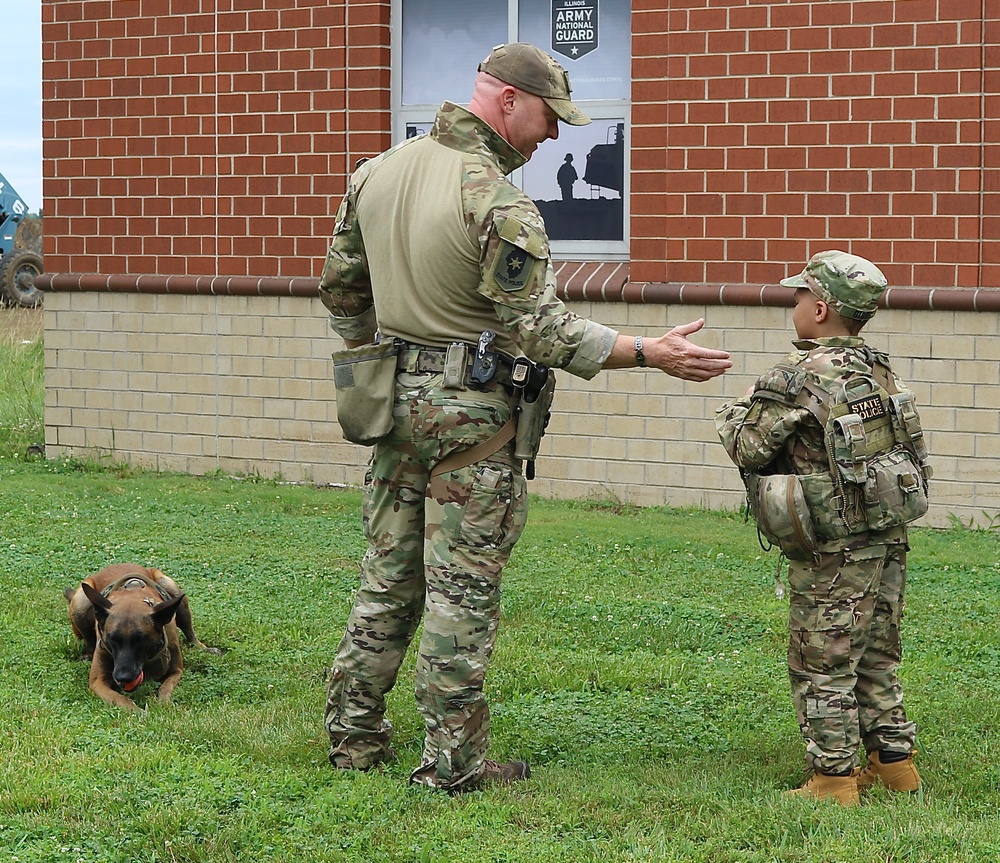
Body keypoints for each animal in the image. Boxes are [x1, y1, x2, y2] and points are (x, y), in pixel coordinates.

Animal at [66, 564, 223, 712]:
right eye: (112, 639)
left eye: (141, 640)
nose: (123, 677)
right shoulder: (97, 681)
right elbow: (120, 698)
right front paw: (137, 711)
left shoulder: (176, 670)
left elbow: (165, 689)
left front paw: (161, 704)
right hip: (81, 601)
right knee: (88, 641)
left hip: (173, 589)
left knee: (190, 633)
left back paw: (205, 648)